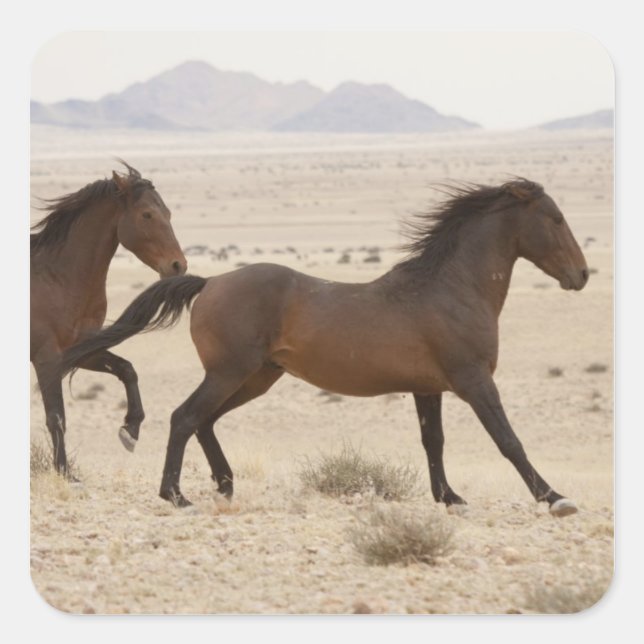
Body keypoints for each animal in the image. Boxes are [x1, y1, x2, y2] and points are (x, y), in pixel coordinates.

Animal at [31, 162, 187, 477]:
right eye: (147, 214)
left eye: (168, 213)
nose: (178, 265)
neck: (57, 278)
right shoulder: (46, 358)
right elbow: (56, 416)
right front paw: (65, 472)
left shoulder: (80, 351)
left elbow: (127, 370)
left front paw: (131, 430)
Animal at [60, 179, 588, 516]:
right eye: (557, 218)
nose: (581, 275)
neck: (450, 289)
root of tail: (210, 282)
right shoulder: (474, 380)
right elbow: (509, 440)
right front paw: (556, 498)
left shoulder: (428, 388)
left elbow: (433, 442)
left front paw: (450, 498)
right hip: (231, 373)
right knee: (185, 417)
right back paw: (177, 496)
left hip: (256, 378)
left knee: (204, 421)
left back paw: (224, 486)